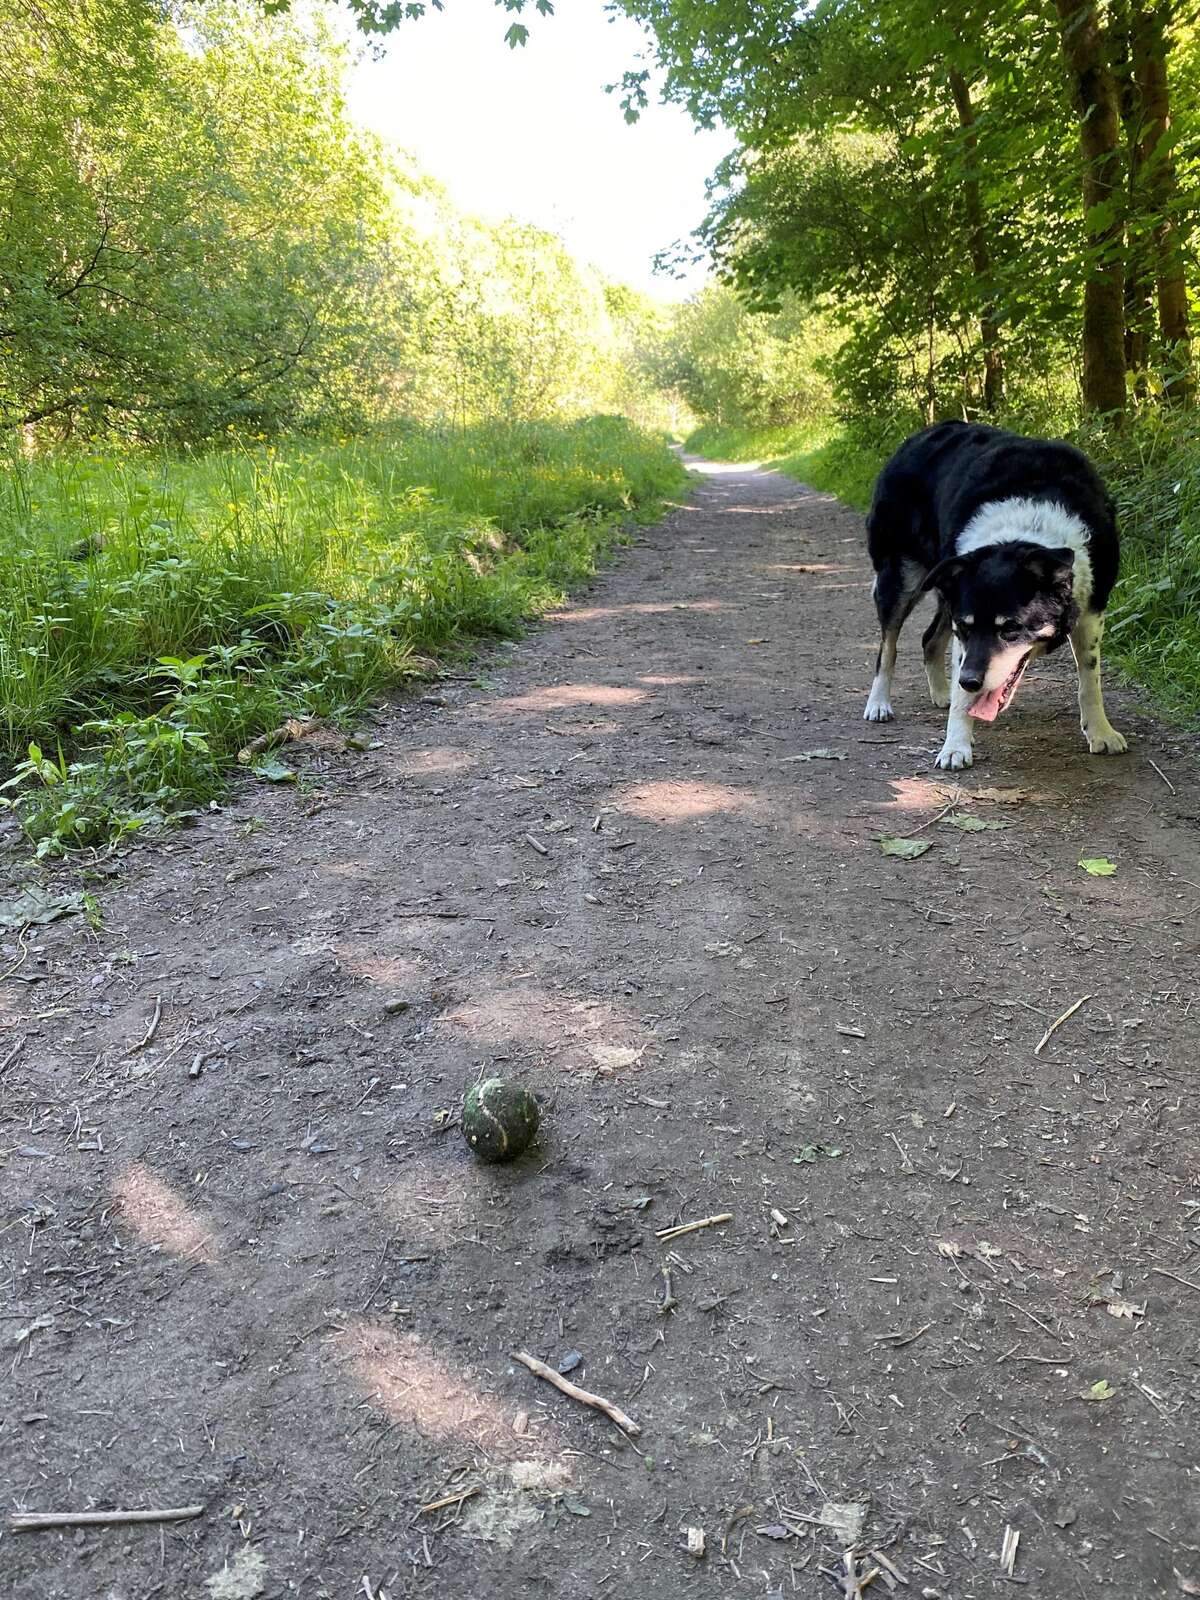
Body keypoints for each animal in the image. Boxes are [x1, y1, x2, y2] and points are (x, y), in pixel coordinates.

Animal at [862, 420, 1127, 770]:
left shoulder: (1091, 608)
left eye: (1011, 629)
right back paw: (879, 703)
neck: (1029, 521)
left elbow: (1090, 678)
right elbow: (962, 693)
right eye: (967, 628)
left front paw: (1100, 731)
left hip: (944, 589)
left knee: (929, 639)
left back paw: (942, 693)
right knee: (888, 647)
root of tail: (919, 434)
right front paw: (955, 745)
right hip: (901, 578)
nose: (970, 681)